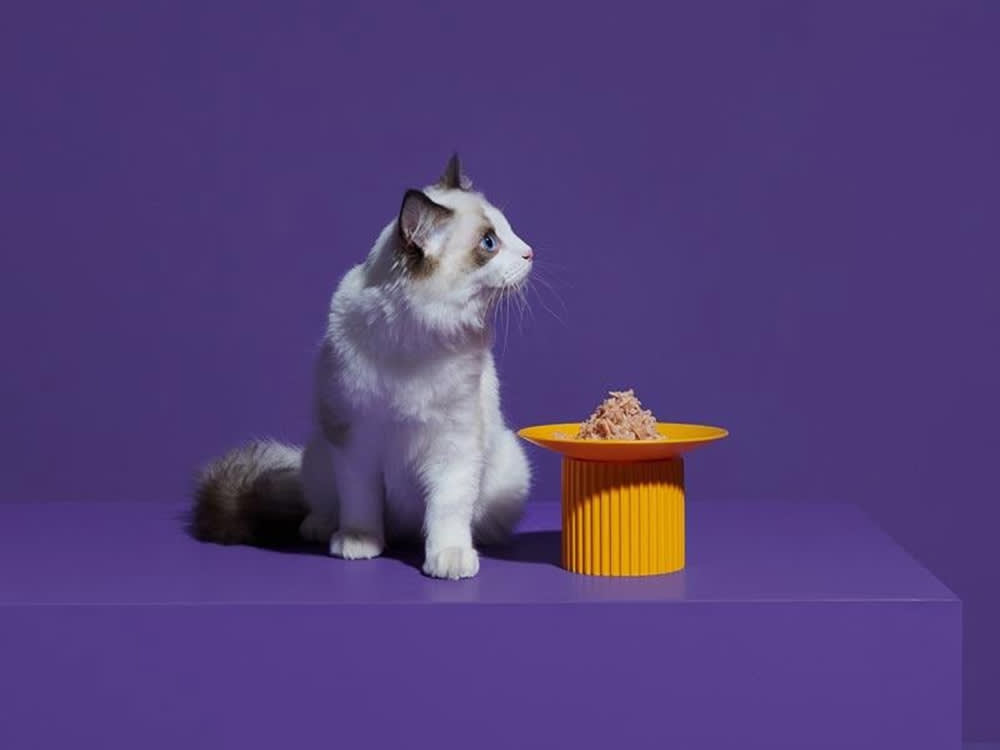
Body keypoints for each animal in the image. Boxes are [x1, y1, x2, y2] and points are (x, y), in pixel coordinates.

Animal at [189, 154, 532, 580]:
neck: (414, 344)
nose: (530, 252)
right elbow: (361, 507)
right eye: (489, 243)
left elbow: (447, 511)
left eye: (506, 232)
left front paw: (448, 557)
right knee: (325, 505)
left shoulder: (453, 447)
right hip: (320, 453)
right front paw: (359, 542)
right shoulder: (355, 443)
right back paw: (321, 528)